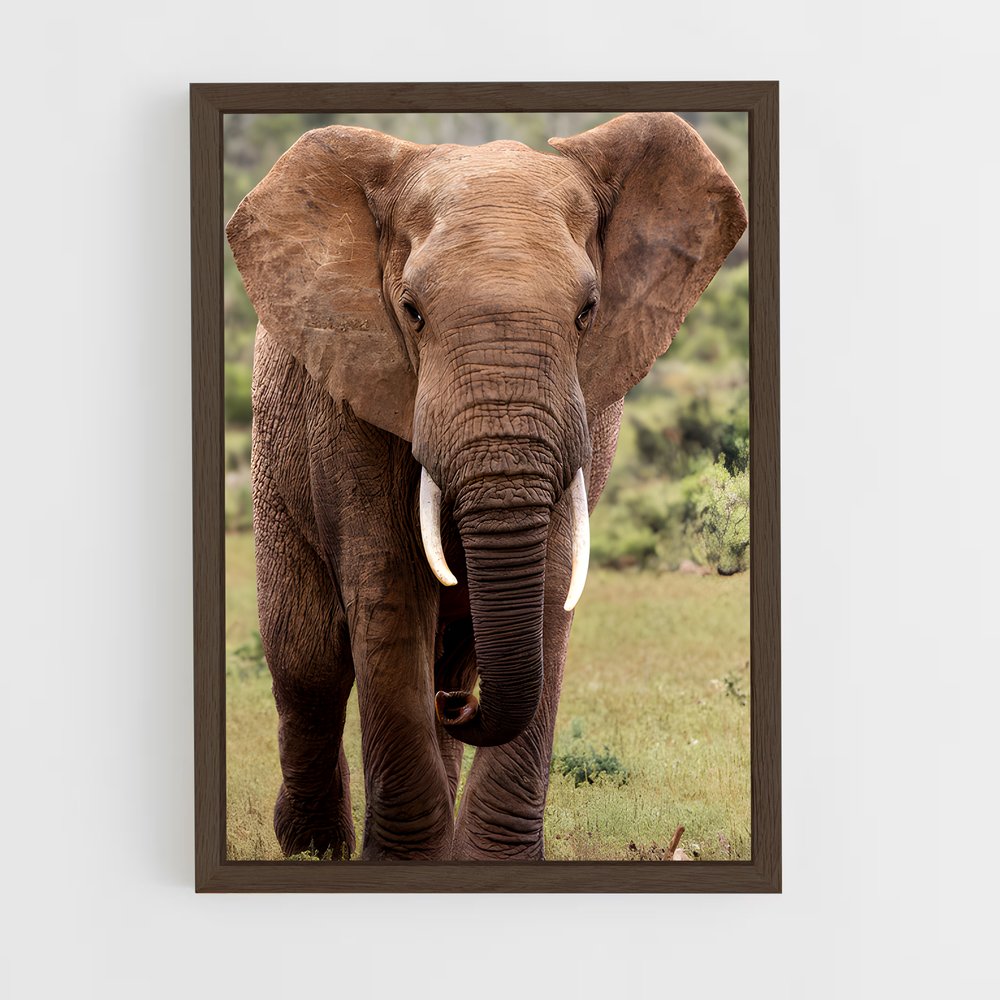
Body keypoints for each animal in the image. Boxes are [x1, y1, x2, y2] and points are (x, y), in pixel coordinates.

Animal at [226, 112, 746, 861]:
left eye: (588, 312)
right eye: (411, 311)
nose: (462, 712)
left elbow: (553, 583)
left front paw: (486, 861)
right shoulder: (352, 394)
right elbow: (387, 588)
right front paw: (407, 864)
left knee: (449, 655)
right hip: (277, 458)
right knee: (310, 661)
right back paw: (313, 847)